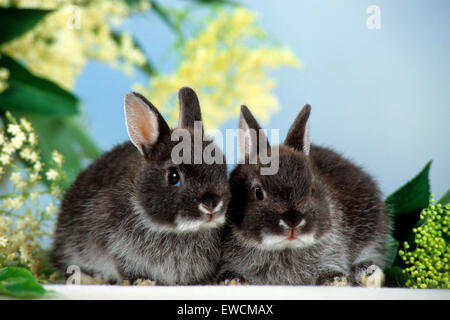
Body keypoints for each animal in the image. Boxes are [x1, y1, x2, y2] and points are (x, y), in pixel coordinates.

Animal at [219, 104, 390, 286]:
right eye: (258, 192)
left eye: (312, 189)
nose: (292, 222)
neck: (284, 248)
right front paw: (233, 281)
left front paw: (336, 280)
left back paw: (368, 273)